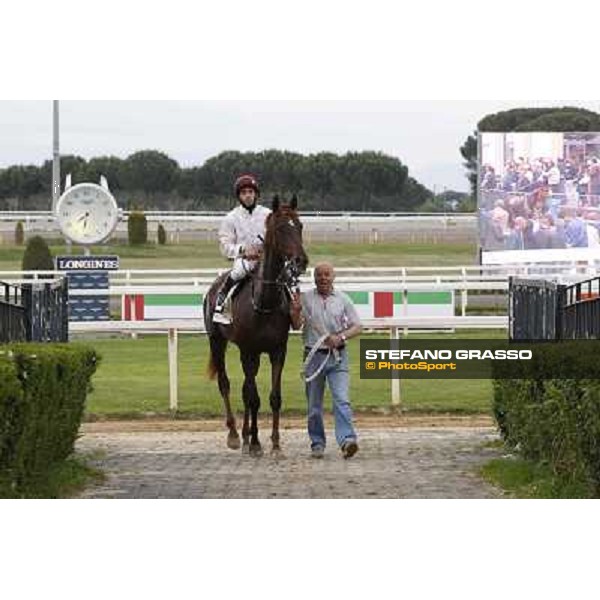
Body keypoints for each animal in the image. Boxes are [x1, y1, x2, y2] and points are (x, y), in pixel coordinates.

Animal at [205, 196, 310, 454]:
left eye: (300, 225)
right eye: (281, 229)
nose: (300, 261)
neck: (264, 302)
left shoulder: (277, 351)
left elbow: (273, 397)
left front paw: (274, 442)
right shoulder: (249, 351)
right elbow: (253, 397)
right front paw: (254, 442)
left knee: (244, 388)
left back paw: (244, 434)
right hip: (216, 341)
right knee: (226, 384)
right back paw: (235, 434)